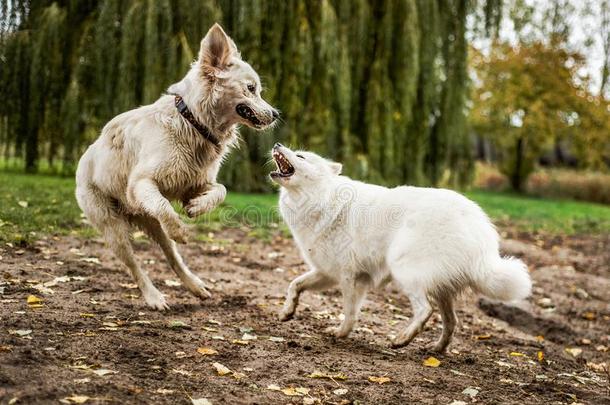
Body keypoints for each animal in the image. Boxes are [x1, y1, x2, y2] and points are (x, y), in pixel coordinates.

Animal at [74, 24, 278, 310]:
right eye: (251, 88)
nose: (276, 115)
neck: (193, 123)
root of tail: (84, 158)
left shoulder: (192, 183)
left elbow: (221, 190)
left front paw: (196, 208)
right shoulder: (141, 183)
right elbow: (164, 207)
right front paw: (181, 229)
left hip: (151, 224)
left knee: (172, 255)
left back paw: (196, 286)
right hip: (112, 228)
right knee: (135, 266)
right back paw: (154, 297)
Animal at [270, 144, 528, 350]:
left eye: (301, 156)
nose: (277, 143)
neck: (322, 199)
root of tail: (480, 231)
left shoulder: (350, 277)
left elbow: (350, 312)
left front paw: (341, 333)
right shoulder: (326, 273)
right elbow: (295, 285)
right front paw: (287, 312)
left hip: (403, 269)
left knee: (425, 311)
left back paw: (401, 340)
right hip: (440, 288)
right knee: (451, 322)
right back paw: (436, 349)